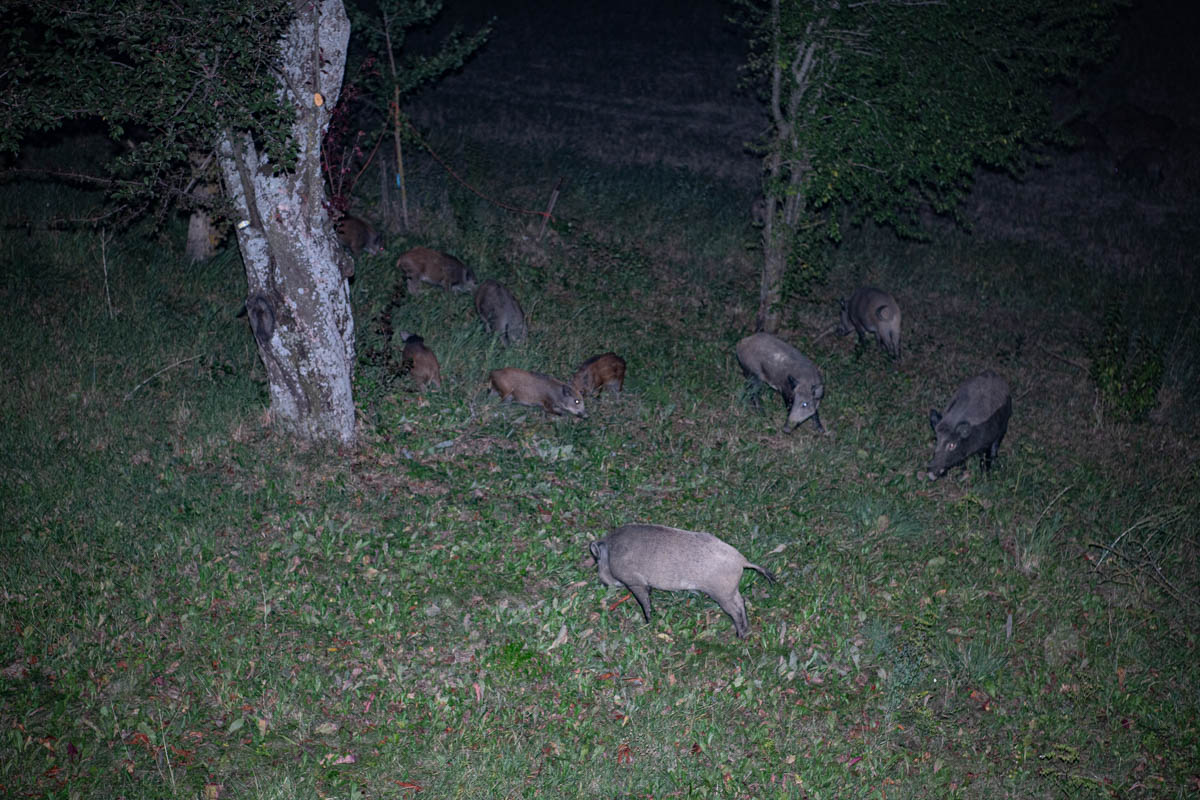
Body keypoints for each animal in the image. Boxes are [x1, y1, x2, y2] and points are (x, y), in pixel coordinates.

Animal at [589, 524, 776, 639]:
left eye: (597, 560)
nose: (603, 582)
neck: (611, 551)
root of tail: (742, 561)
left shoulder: (635, 582)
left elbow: (644, 603)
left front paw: (648, 622)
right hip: (731, 591)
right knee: (742, 603)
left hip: (722, 594)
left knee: (736, 610)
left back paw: (740, 635)